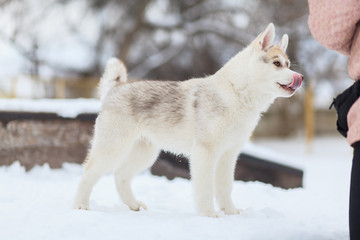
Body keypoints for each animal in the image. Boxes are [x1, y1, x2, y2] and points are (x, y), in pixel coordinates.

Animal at [74, 23, 304, 217]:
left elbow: (225, 186)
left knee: (120, 175)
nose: (300, 78)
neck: (236, 94)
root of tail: (115, 88)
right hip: (112, 148)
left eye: (288, 64)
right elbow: (206, 187)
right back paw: (80, 205)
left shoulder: (229, 154)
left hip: (145, 152)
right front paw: (208, 215)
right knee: (88, 172)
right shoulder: (206, 152)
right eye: (277, 63)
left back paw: (134, 205)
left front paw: (230, 212)